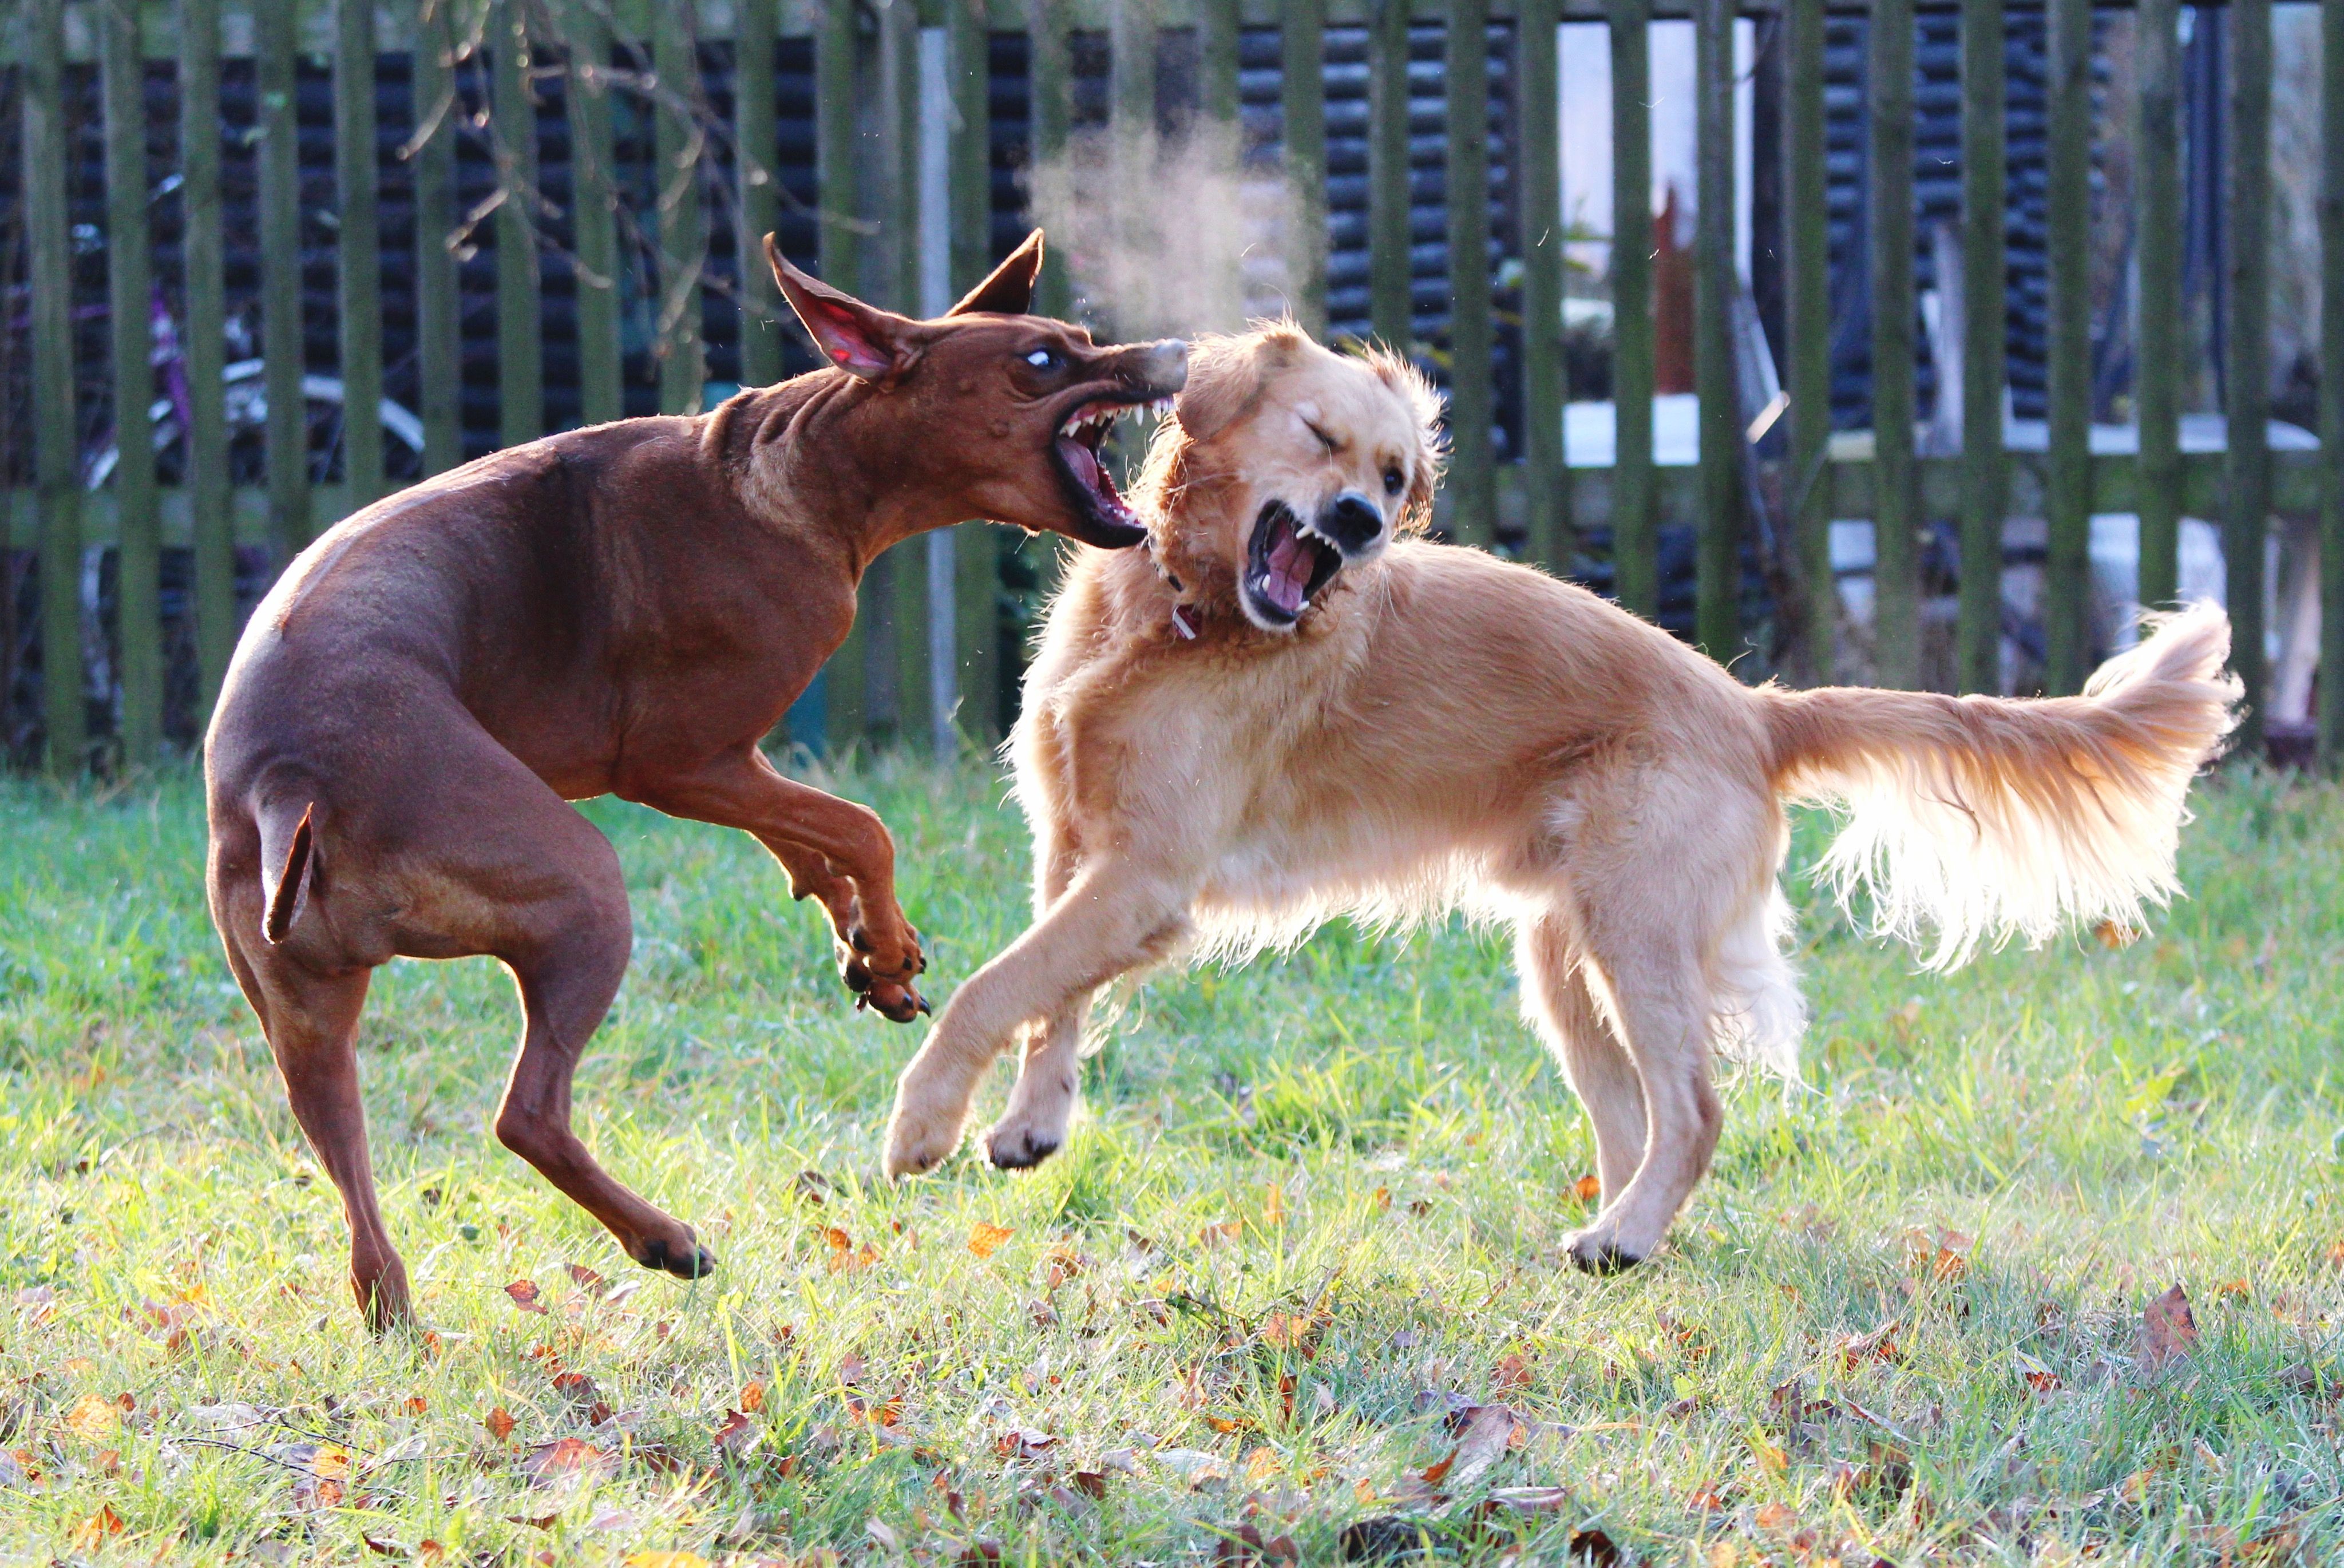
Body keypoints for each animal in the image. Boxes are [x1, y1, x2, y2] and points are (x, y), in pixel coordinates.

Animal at [204, 229, 1190, 1321]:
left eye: (1080, 340)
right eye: (1042, 361)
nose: (1179, 353)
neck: (796, 472)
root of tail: (288, 782)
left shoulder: (732, 760)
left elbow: (809, 842)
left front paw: (865, 949)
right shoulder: (673, 763)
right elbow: (861, 826)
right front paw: (885, 942)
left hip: (305, 1016)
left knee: (349, 1167)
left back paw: (402, 1309)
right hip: (582, 889)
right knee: (525, 1115)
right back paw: (663, 1239)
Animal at [881, 323, 2231, 1265]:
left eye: (1395, 473)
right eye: (1319, 438)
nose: (1362, 524)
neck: (1180, 615)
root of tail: (1753, 709)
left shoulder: (1146, 874)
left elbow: (992, 988)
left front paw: (922, 1125)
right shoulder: (1083, 853)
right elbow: (1049, 1000)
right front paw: (1032, 1123)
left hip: (1636, 933)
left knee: (1694, 1109)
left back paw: (1624, 1237)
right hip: (1563, 953)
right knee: (1635, 1117)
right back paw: (1621, 1229)